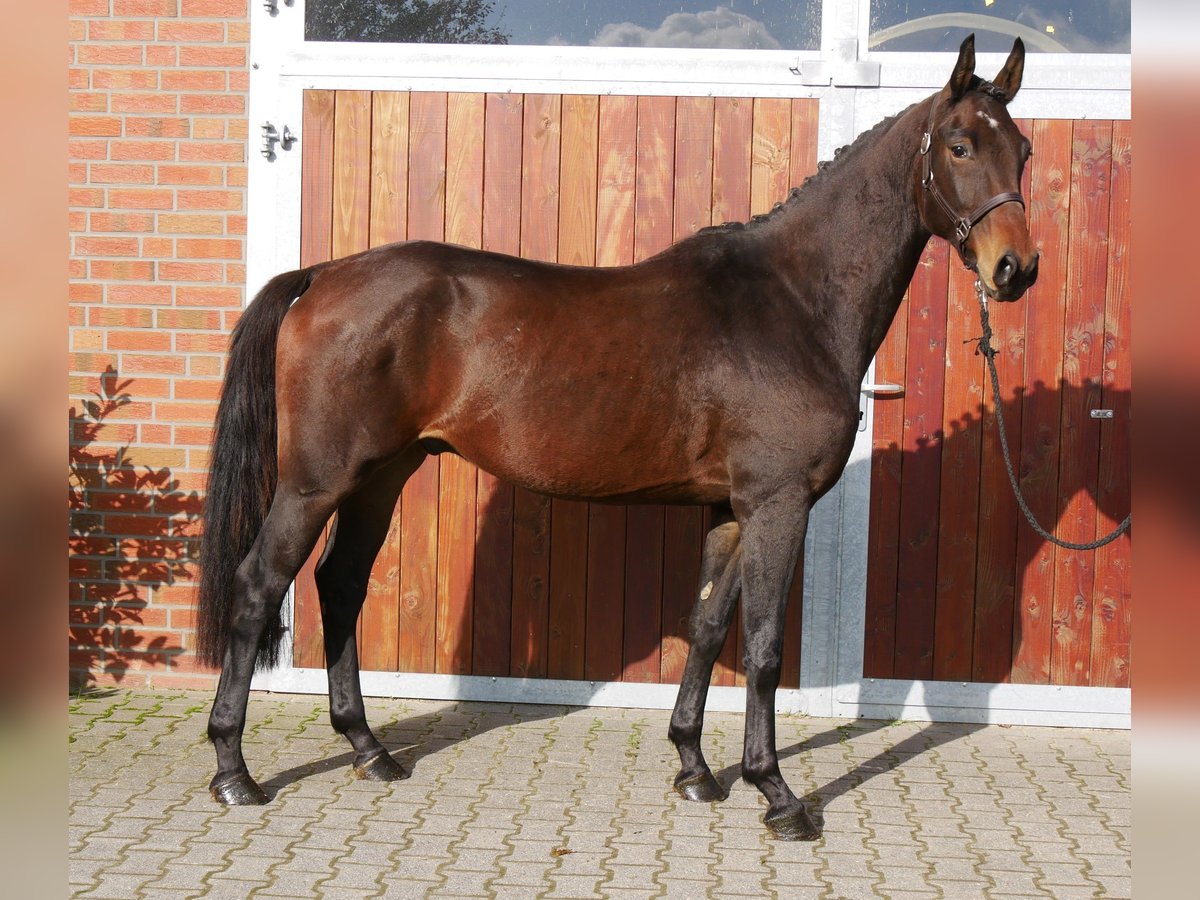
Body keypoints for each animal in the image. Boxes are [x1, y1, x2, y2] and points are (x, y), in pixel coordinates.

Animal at [199, 33, 1041, 840]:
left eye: (1024, 150)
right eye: (959, 145)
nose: (1016, 269)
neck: (792, 303)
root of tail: (323, 274)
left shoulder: (731, 509)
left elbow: (707, 627)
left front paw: (695, 768)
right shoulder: (778, 504)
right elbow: (765, 646)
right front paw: (777, 794)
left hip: (380, 476)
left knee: (340, 586)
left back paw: (369, 750)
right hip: (316, 483)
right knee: (258, 586)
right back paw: (235, 772)